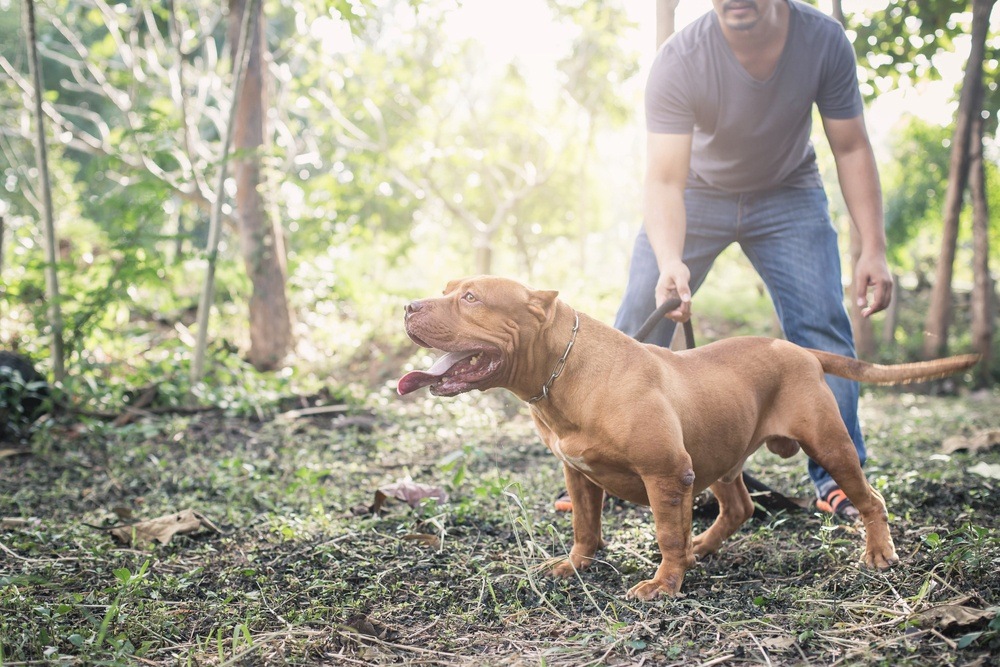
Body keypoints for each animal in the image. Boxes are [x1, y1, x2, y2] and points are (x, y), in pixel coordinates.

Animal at [396, 276, 976, 600]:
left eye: (470, 297)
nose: (407, 305)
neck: (562, 373)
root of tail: (796, 349)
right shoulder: (578, 473)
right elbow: (585, 525)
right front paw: (577, 565)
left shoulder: (666, 472)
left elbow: (665, 535)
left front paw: (664, 584)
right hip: (719, 454)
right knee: (740, 507)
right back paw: (704, 548)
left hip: (829, 446)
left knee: (870, 496)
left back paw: (878, 551)